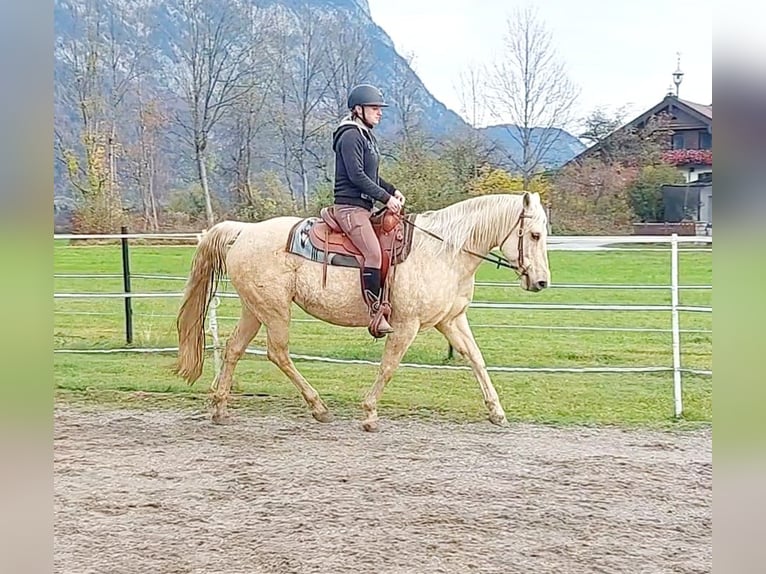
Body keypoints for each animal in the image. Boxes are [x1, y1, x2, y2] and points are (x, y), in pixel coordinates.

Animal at [175, 191, 551, 431]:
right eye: (534, 234)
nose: (541, 281)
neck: (443, 251)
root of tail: (243, 231)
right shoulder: (406, 325)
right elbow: (388, 366)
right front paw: (369, 413)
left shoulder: (450, 321)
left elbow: (476, 359)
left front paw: (497, 412)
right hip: (275, 310)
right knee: (277, 353)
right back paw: (318, 407)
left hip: (255, 309)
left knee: (234, 349)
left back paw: (220, 408)